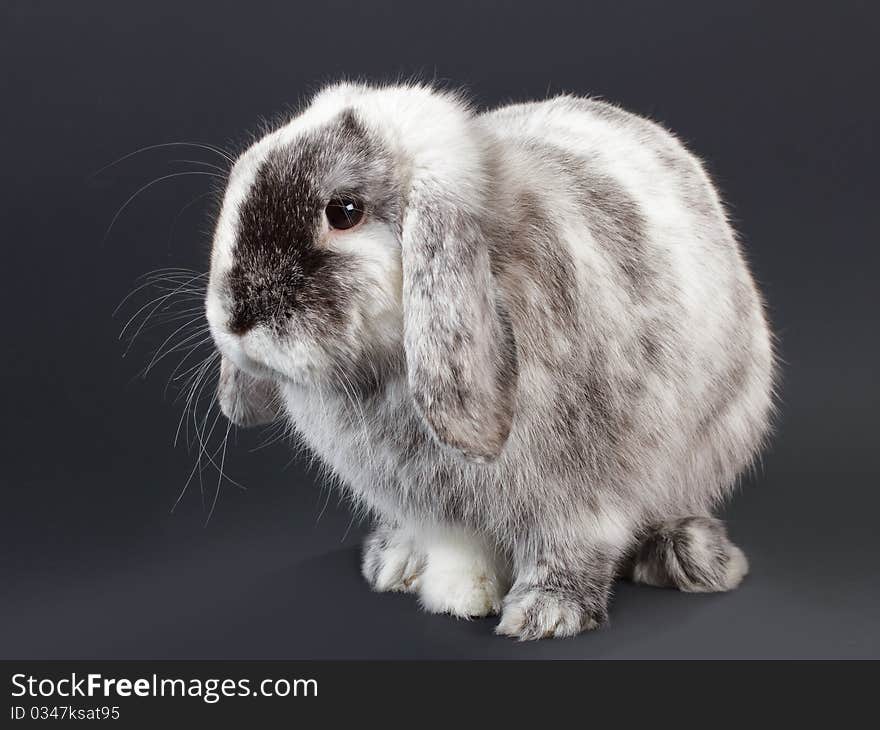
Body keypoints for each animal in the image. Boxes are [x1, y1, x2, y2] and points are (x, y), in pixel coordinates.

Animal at [203, 81, 772, 636]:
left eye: (343, 212)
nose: (237, 319)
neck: (386, 373)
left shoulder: (582, 494)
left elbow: (571, 545)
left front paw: (545, 613)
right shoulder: (435, 504)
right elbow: (459, 545)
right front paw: (460, 595)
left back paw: (691, 556)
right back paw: (394, 560)